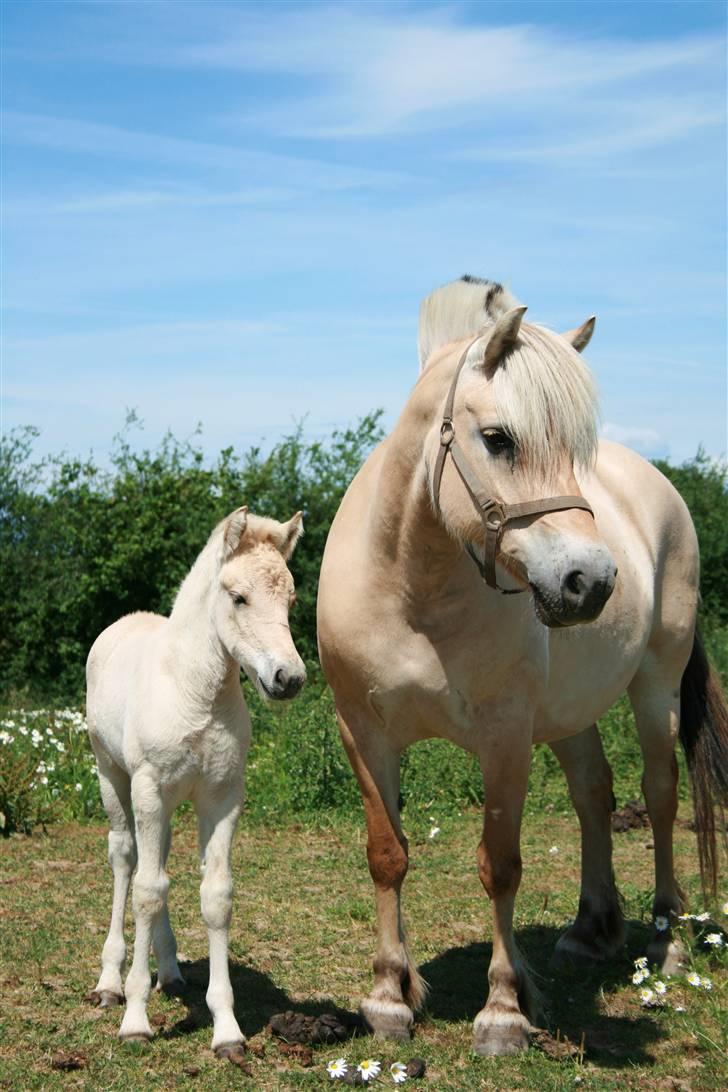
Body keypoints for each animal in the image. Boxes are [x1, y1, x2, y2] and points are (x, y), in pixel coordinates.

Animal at [86, 511, 305, 1057]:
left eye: (291, 601)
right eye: (239, 597)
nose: (288, 678)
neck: (195, 692)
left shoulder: (222, 798)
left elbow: (215, 896)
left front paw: (226, 1030)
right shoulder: (148, 790)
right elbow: (146, 891)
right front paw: (136, 1019)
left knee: (157, 859)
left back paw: (168, 971)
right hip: (112, 776)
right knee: (127, 859)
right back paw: (110, 982)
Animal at [320, 275, 728, 1057]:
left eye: (576, 447)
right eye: (498, 439)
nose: (591, 583)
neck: (415, 590)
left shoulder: (505, 738)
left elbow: (500, 864)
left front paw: (504, 1011)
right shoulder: (364, 732)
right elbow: (386, 853)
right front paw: (389, 997)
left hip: (655, 687)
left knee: (659, 796)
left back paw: (664, 943)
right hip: (570, 711)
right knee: (595, 793)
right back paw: (590, 930)